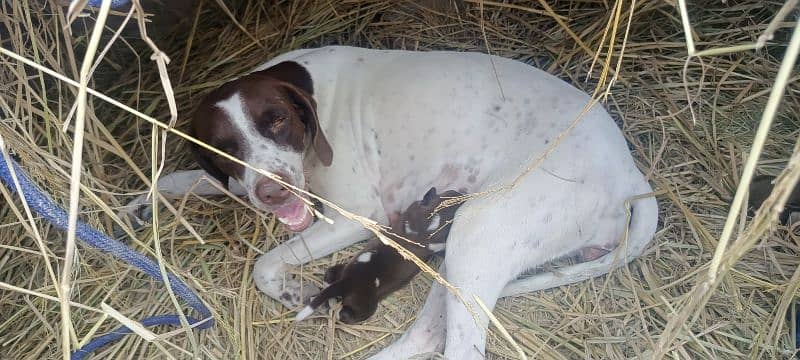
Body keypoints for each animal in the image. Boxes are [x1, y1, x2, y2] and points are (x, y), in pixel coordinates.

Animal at [296, 188, 462, 324]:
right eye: (454, 197)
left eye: (449, 193)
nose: (462, 192)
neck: (425, 223)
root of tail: (347, 281)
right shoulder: (433, 243)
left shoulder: (410, 211)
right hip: (366, 305)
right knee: (346, 315)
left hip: (340, 269)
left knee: (329, 275)